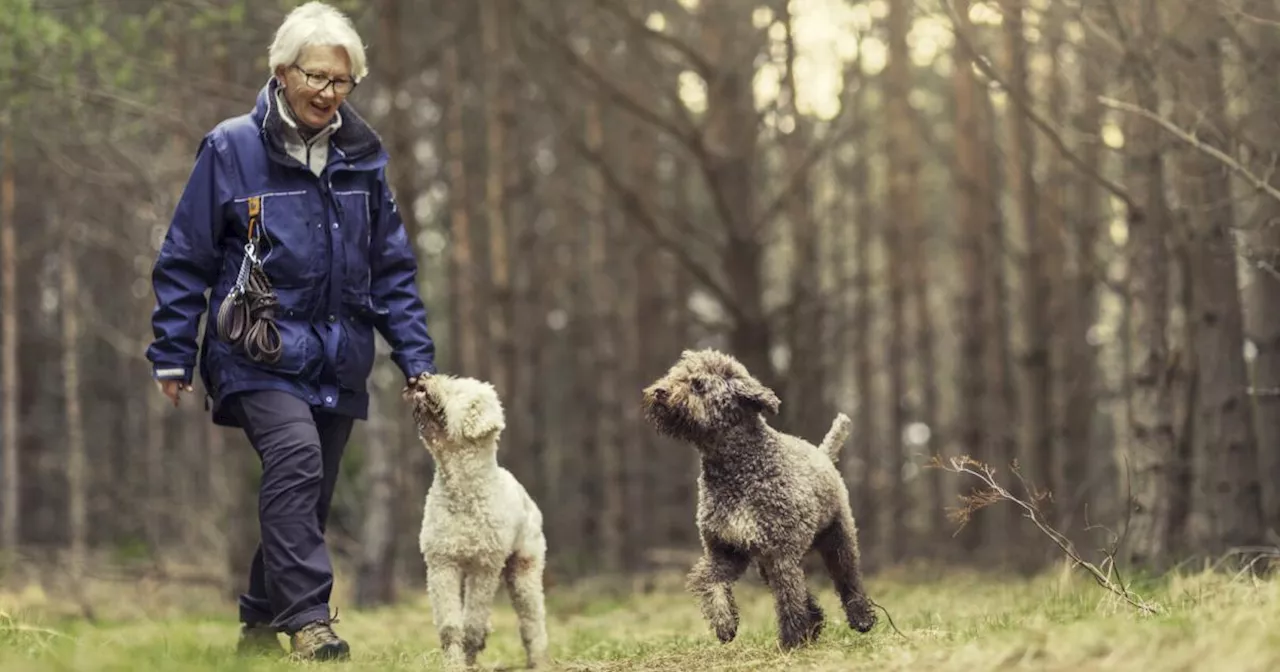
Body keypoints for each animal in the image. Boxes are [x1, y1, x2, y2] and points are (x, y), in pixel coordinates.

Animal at [401, 371, 547, 665]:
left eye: (457, 390)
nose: (423, 375)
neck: (462, 492)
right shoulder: (442, 563)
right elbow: (450, 626)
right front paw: (455, 663)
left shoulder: (484, 566)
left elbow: (473, 622)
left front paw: (468, 653)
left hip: (524, 567)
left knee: (532, 620)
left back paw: (537, 661)